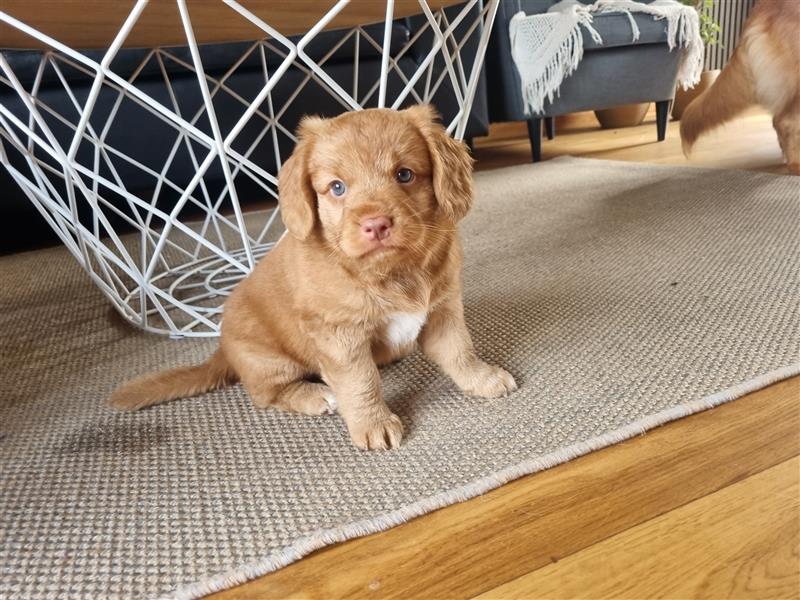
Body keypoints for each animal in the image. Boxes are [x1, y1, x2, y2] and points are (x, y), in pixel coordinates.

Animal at [109, 105, 516, 448]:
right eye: (337, 187)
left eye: (404, 175)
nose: (376, 225)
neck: (391, 272)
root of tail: (221, 351)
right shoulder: (339, 335)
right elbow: (360, 382)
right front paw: (372, 423)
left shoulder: (442, 308)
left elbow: (459, 350)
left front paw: (481, 378)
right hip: (269, 360)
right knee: (265, 394)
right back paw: (315, 394)